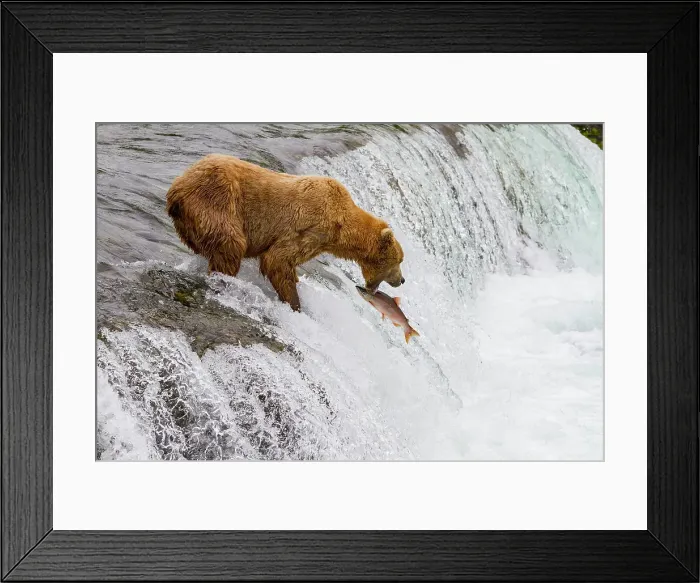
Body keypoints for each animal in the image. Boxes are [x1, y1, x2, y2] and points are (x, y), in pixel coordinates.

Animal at [165, 154, 405, 311]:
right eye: (399, 260)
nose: (402, 280)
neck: (342, 227)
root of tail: (177, 188)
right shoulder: (312, 228)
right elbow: (278, 260)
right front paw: (295, 304)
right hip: (217, 200)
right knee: (231, 245)